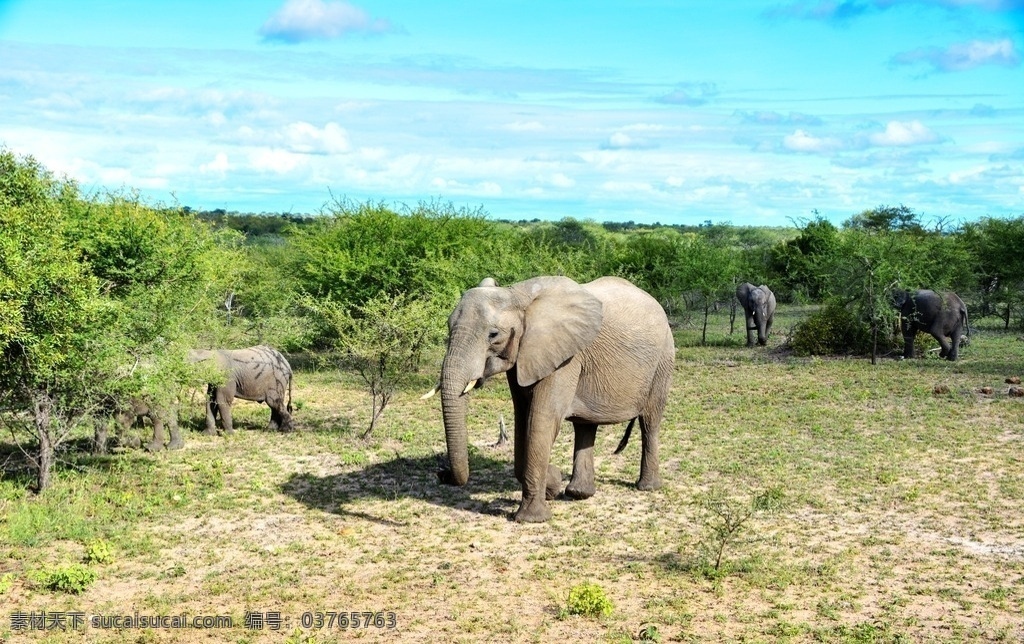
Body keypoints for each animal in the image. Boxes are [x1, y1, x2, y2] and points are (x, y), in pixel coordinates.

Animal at [428, 274, 675, 522]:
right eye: (448, 326)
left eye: (493, 334)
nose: (442, 473)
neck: (517, 294)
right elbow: (522, 417)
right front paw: (553, 484)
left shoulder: (565, 358)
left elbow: (541, 420)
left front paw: (533, 518)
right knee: (585, 426)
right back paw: (578, 493)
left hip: (663, 360)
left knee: (649, 422)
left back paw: (647, 487)